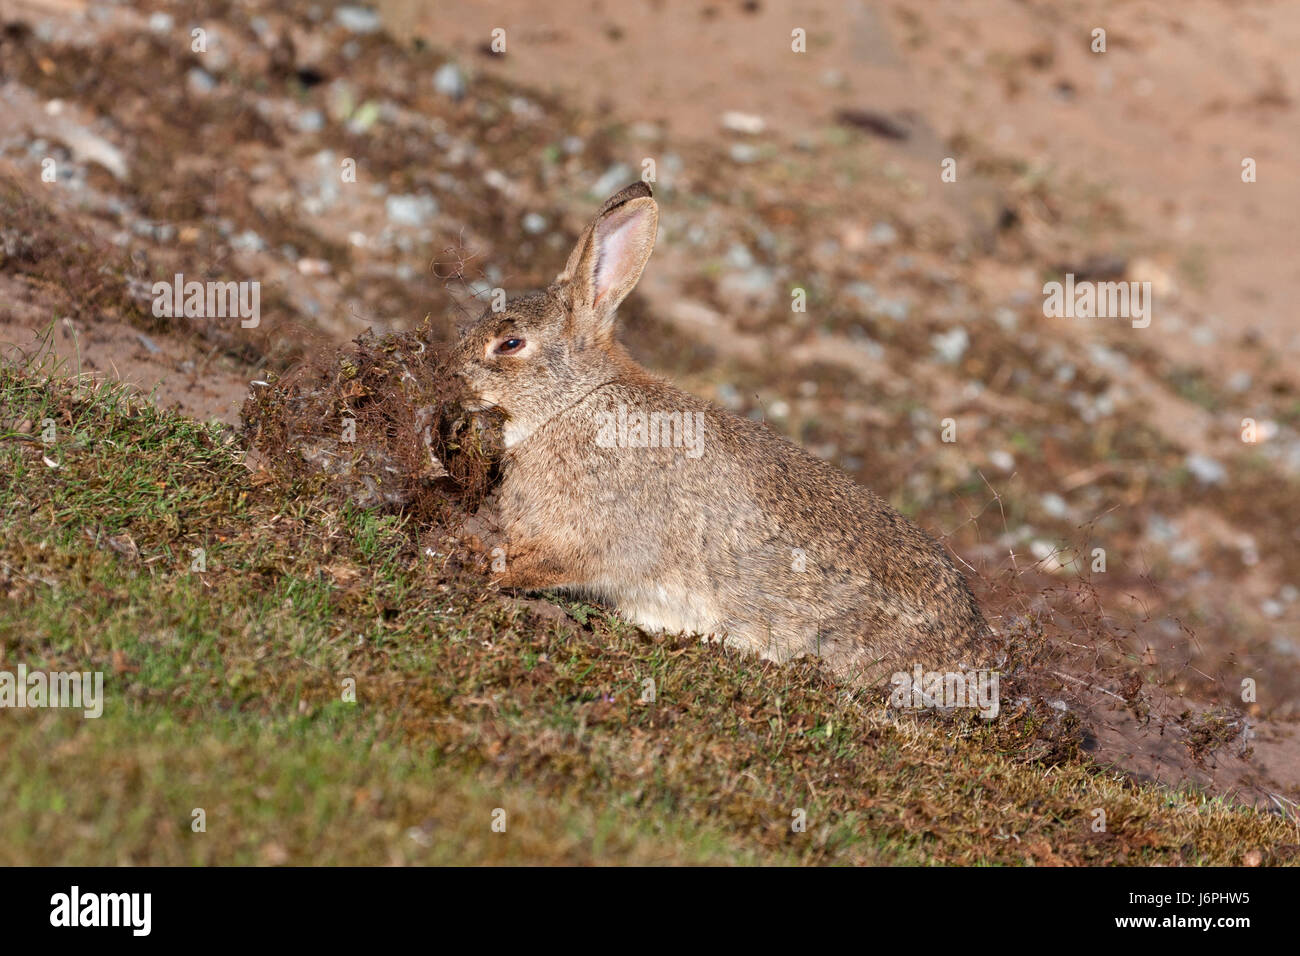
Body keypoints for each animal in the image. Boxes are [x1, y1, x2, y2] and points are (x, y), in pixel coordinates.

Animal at [453, 182, 991, 684]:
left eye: (510, 344)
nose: (450, 375)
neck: (574, 401)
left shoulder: (585, 539)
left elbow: (541, 566)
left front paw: (483, 565)